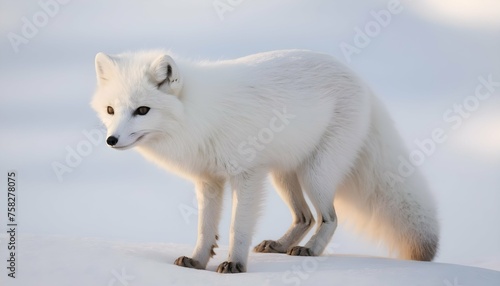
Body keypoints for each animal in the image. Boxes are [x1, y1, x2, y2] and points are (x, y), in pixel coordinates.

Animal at [92, 50, 440, 274]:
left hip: (314, 175)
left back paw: (310, 250)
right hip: (283, 176)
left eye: (142, 110)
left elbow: (237, 227)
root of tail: (363, 83)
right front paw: (198, 261)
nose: (111, 140)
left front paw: (235, 265)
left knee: (329, 218)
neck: (200, 116)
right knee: (304, 217)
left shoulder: (246, 176)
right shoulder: (209, 180)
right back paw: (280, 245)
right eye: (111, 110)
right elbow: (206, 229)